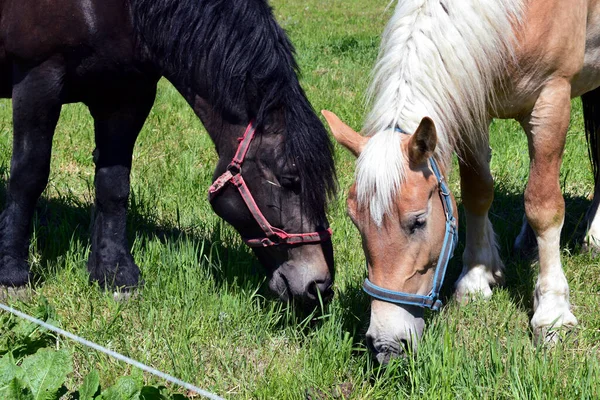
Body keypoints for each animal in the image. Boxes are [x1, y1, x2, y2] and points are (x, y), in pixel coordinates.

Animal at [0, 0, 338, 310]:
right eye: (289, 179)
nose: (319, 285)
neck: (119, 10)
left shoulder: (127, 95)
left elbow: (113, 185)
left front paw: (115, 274)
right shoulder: (38, 77)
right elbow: (28, 176)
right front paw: (12, 275)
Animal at [324, 0, 600, 362]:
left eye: (418, 221)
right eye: (355, 222)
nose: (386, 345)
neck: (521, 15)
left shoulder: (551, 101)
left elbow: (544, 205)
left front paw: (551, 313)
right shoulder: (473, 102)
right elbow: (477, 192)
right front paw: (476, 277)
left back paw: (593, 238)